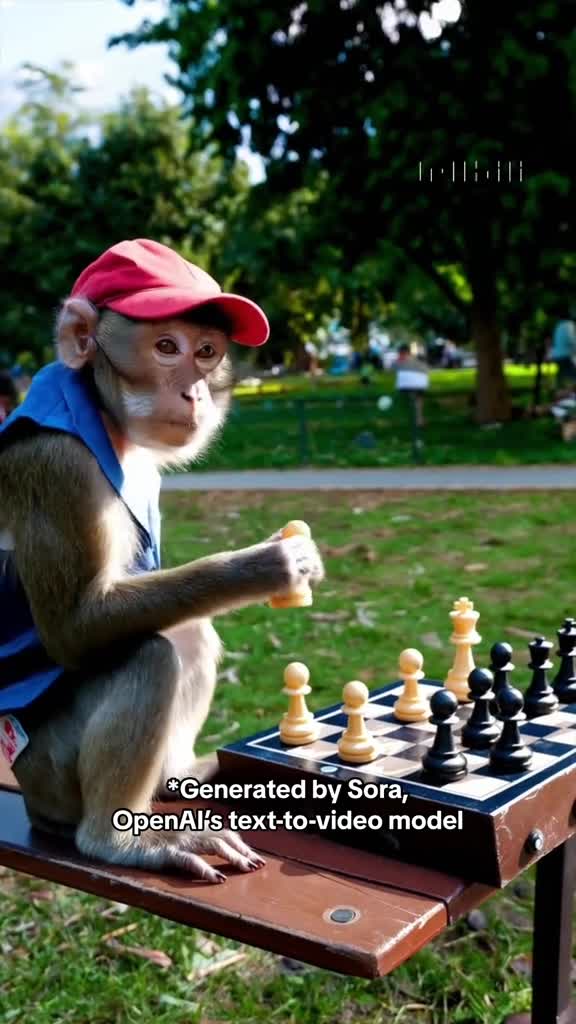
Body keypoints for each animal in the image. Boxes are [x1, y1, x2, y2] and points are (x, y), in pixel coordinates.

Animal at [0, 237, 323, 880]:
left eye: (206, 352)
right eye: (166, 347)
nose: (194, 390)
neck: (103, 420)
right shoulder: (55, 466)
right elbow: (74, 627)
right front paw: (267, 565)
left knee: (187, 631)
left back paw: (176, 778)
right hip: (48, 771)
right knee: (148, 654)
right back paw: (115, 838)